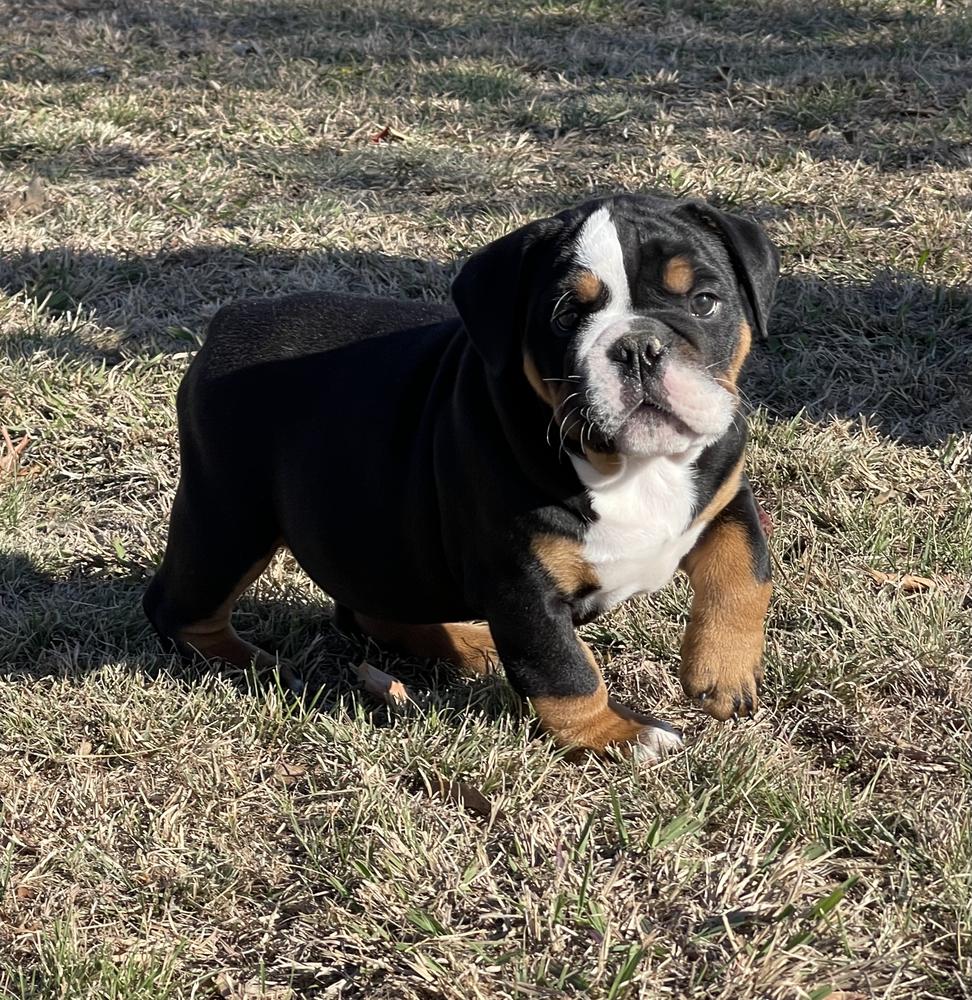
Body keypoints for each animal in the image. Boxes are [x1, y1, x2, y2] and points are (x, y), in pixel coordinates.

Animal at [144, 193, 780, 756]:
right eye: (566, 317)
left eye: (704, 302)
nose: (639, 347)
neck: (634, 467)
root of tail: (232, 318)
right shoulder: (520, 581)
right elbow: (564, 672)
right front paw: (614, 736)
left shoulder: (724, 492)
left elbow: (745, 569)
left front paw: (722, 674)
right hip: (229, 520)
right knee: (180, 607)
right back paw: (252, 667)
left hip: (378, 542)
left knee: (367, 607)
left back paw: (469, 643)